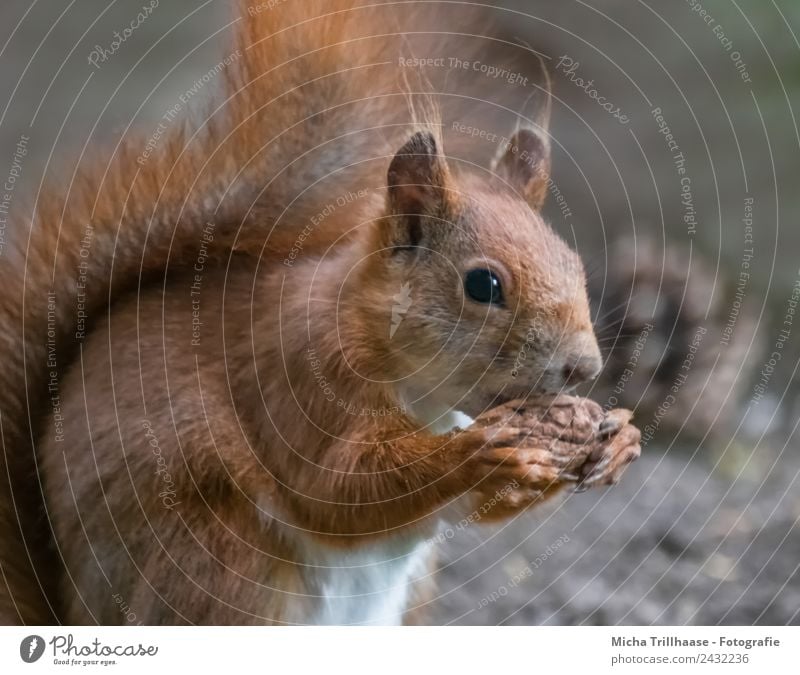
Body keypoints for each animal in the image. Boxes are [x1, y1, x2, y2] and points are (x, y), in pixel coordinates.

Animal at [0, 0, 640, 624]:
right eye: (483, 284)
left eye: (575, 263)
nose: (585, 367)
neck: (417, 387)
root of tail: (76, 613)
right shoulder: (304, 380)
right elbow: (338, 487)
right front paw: (479, 452)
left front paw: (618, 438)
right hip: (224, 565)